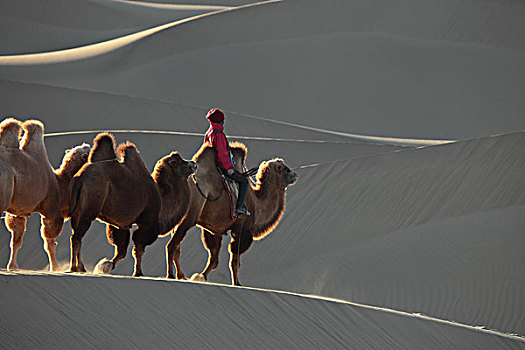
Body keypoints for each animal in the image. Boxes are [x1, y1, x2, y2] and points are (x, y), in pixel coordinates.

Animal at [0, 117, 90, 270]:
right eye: (87, 150)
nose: (87, 144)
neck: (60, 184)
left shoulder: (18, 211)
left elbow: (16, 240)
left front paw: (12, 266)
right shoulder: (52, 213)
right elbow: (50, 243)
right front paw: (56, 267)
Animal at [67, 133, 194, 276]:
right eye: (182, 162)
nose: (194, 163)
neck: (162, 202)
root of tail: (80, 177)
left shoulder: (120, 225)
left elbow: (122, 251)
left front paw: (106, 265)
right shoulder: (147, 224)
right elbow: (138, 248)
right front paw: (138, 272)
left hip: (77, 210)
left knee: (76, 236)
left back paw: (81, 268)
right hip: (89, 207)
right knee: (77, 237)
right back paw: (73, 268)